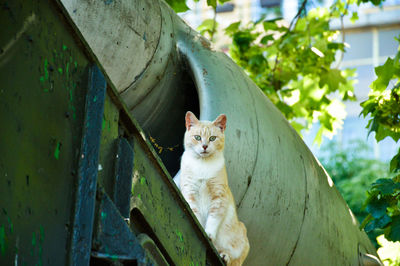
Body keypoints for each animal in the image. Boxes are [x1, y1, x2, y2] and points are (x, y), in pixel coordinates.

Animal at [179, 111, 248, 264]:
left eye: (212, 138)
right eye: (197, 137)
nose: (204, 146)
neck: (202, 165)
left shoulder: (219, 196)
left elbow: (213, 218)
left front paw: (208, 233)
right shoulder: (190, 192)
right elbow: (196, 214)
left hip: (242, 235)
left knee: (233, 259)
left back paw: (224, 256)